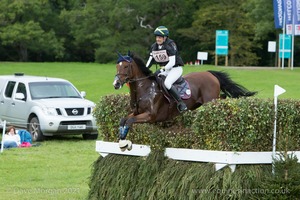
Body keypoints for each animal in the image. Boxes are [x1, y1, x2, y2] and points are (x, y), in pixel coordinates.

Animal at [112, 51, 255, 150]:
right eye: (117, 66)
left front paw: (125, 143)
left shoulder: (150, 116)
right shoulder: (136, 112)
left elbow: (129, 121)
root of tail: (210, 73)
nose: (116, 84)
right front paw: (123, 142)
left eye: (126, 67)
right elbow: (123, 120)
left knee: (221, 99)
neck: (145, 89)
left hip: (211, 100)